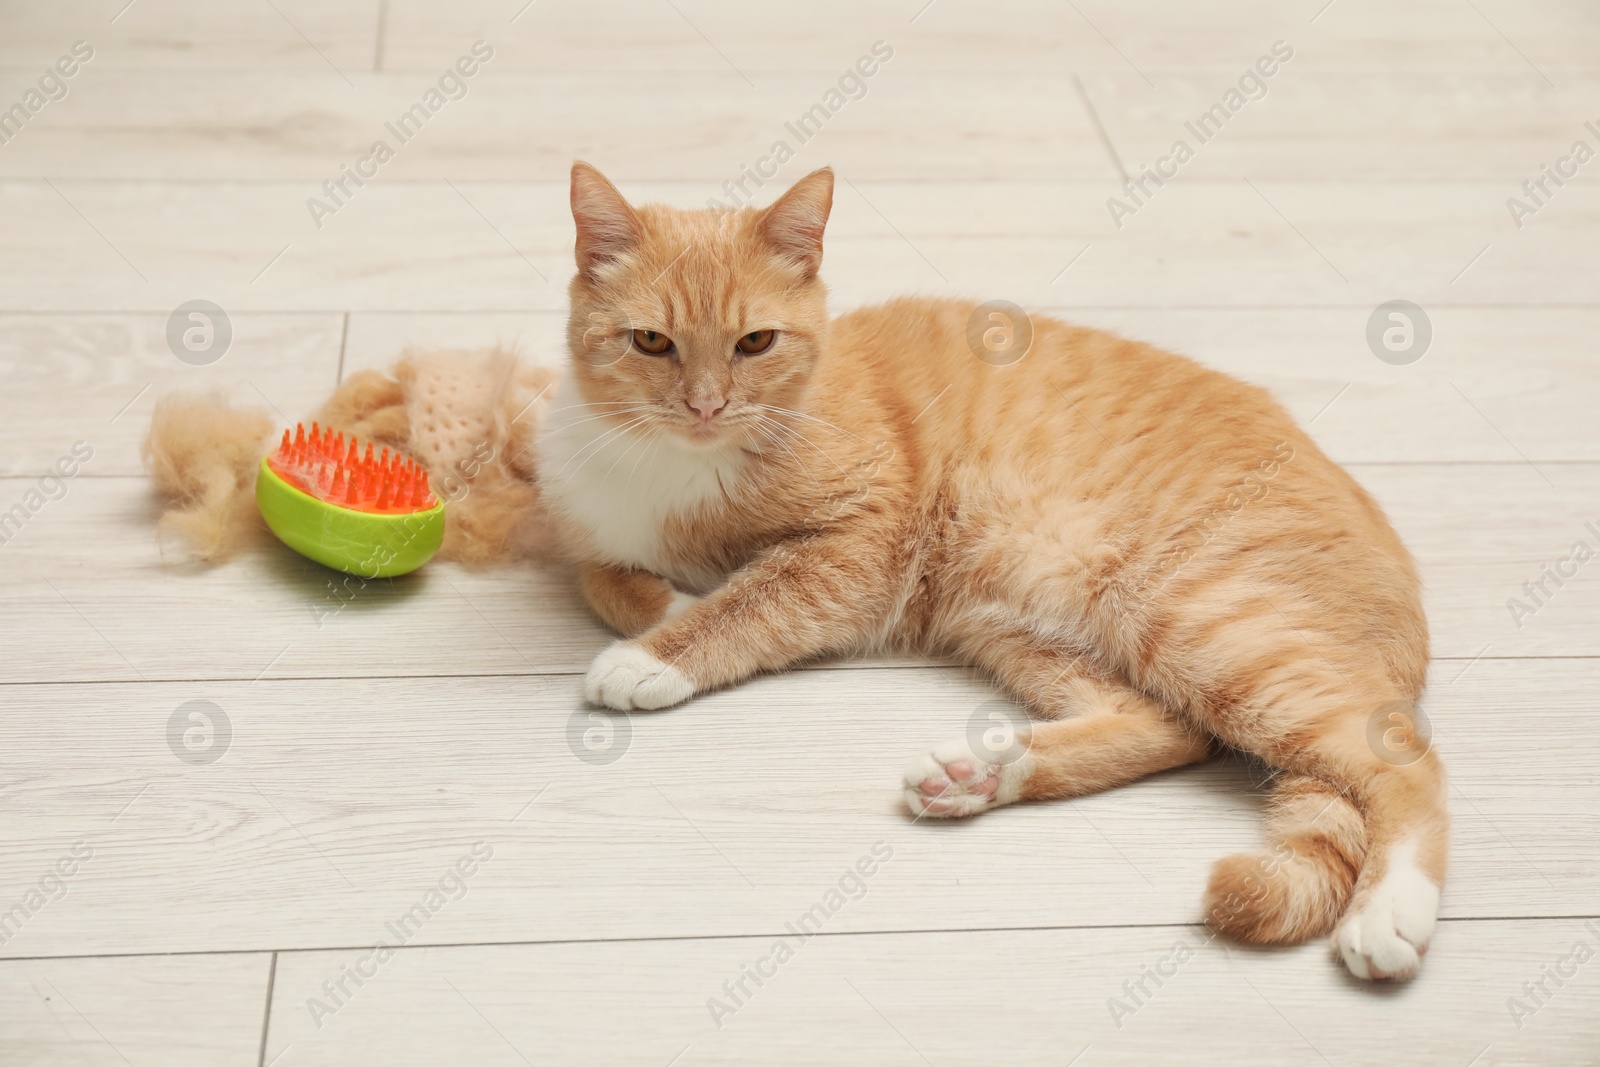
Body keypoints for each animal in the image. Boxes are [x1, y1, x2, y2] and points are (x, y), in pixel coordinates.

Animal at [537, 160, 1452, 985]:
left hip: (1199, 615)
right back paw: (980, 773)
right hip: (1017, 623)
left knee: (1401, 757)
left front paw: (652, 653)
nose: (706, 405)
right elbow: (606, 577)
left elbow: (751, 600)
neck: (676, 467)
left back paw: (1392, 910)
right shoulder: (586, 525)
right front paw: (656, 601)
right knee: (1168, 726)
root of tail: (1394, 559)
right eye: (651, 341)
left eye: (754, 342)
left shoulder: (860, 543)